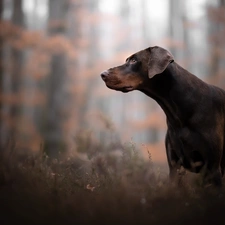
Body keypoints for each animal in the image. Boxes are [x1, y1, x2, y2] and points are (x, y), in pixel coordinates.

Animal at [101, 45, 225, 186]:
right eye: (128, 60)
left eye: (134, 60)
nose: (103, 74)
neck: (177, 114)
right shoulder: (174, 167)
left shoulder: (213, 168)